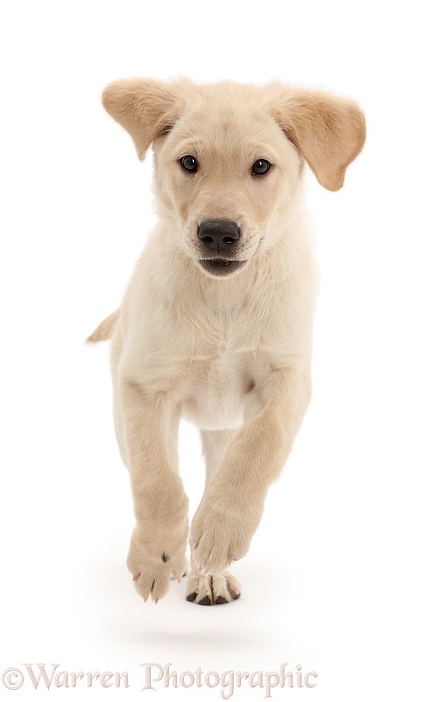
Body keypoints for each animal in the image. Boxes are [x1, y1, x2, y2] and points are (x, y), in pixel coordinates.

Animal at [88, 75, 364, 604]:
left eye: (261, 167)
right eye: (188, 163)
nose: (218, 233)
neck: (223, 298)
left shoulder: (288, 378)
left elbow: (261, 443)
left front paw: (221, 529)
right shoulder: (143, 386)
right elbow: (156, 479)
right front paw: (156, 554)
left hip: (225, 429)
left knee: (225, 465)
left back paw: (209, 571)